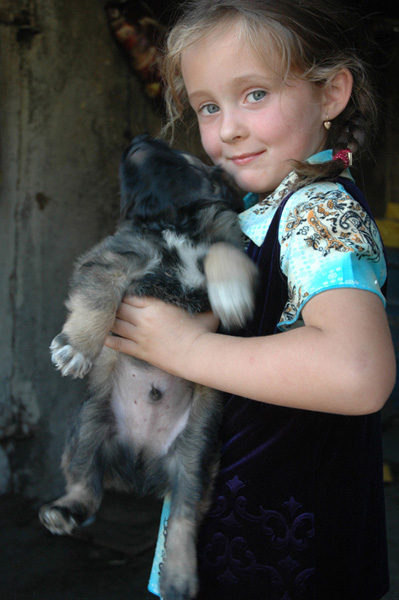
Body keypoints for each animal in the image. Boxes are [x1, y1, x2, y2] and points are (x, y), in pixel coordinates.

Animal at [39, 136, 258, 600]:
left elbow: (224, 254)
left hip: (196, 458)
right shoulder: (111, 259)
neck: (174, 224)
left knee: (184, 517)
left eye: (181, 157)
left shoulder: (231, 245)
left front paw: (231, 294)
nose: (138, 140)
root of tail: (139, 469)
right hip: (88, 424)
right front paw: (77, 348)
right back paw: (63, 511)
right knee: (86, 486)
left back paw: (178, 576)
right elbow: (99, 299)